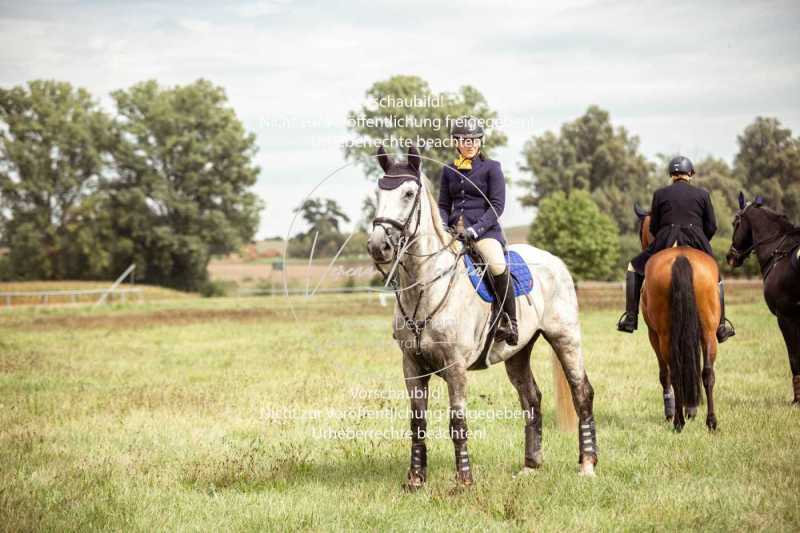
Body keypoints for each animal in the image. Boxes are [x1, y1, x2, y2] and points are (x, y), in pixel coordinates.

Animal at [636, 204, 724, 432]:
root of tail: (681, 257)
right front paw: (690, 408)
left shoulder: (653, 334)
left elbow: (664, 373)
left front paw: (675, 411)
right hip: (708, 332)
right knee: (707, 372)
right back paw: (710, 422)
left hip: (665, 335)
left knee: (674, 371)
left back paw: (677, 420)